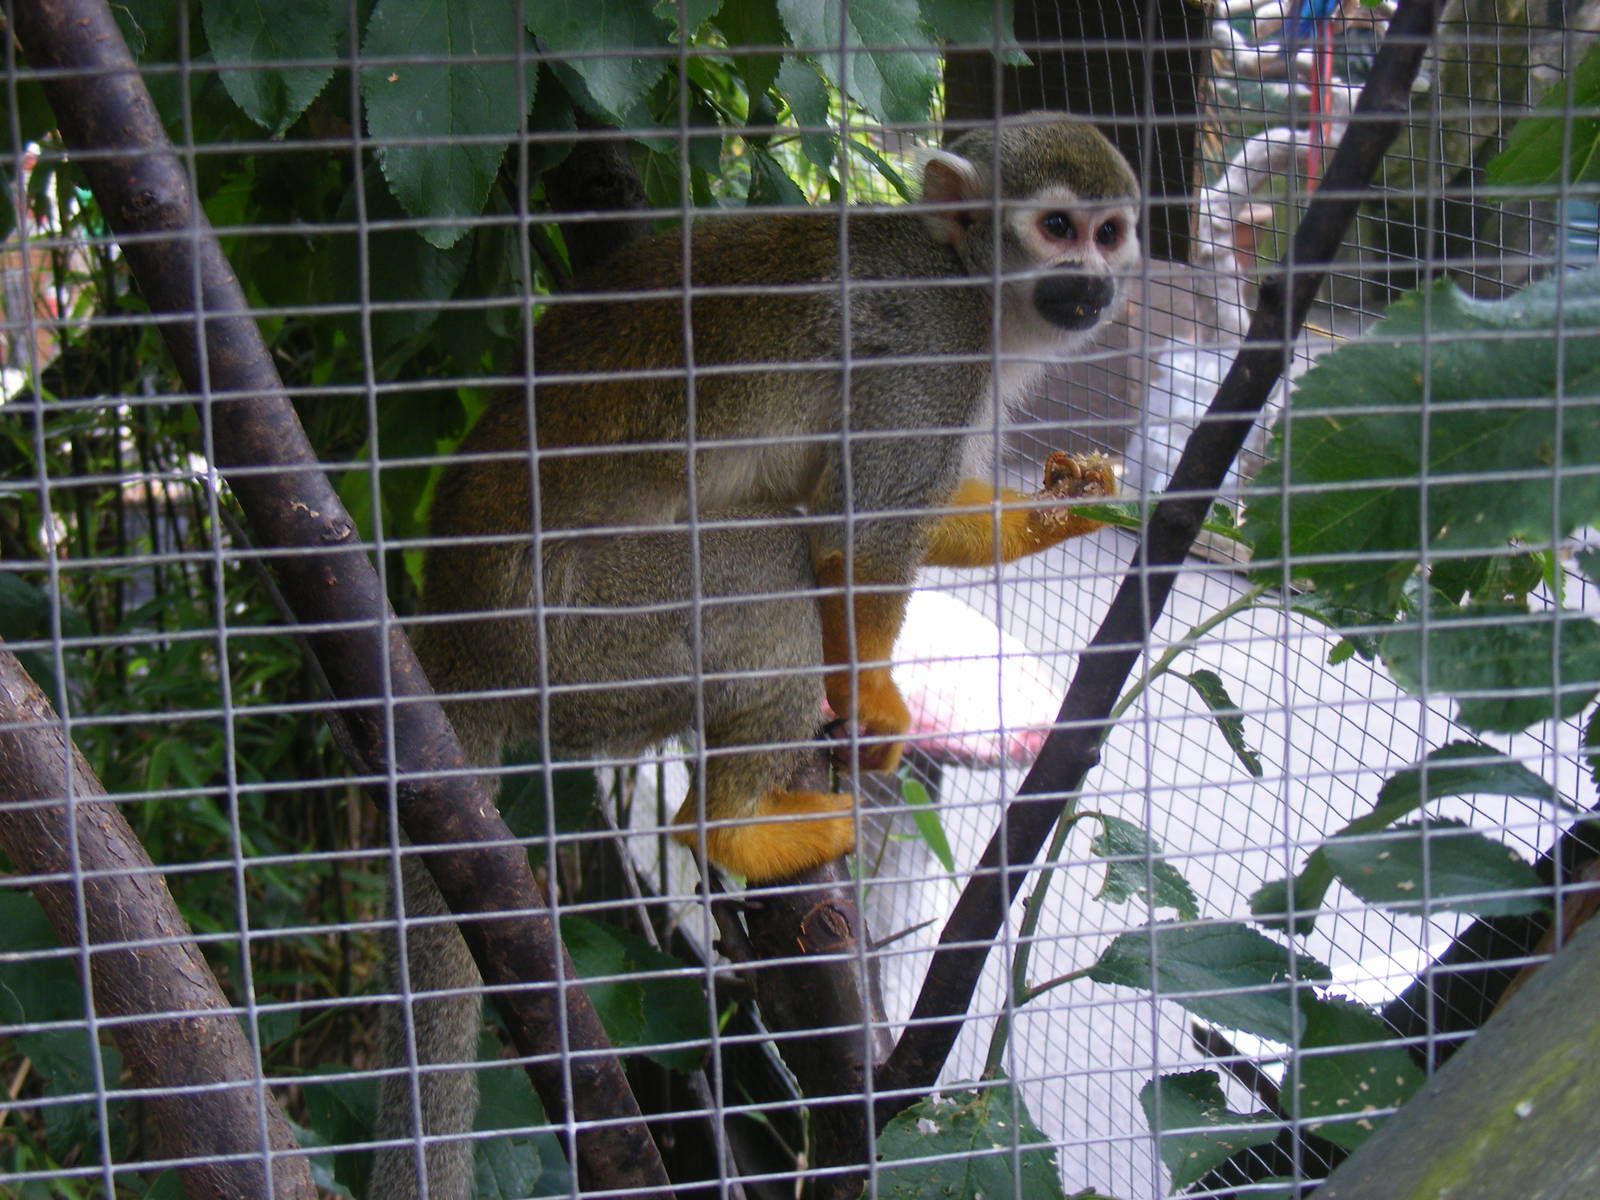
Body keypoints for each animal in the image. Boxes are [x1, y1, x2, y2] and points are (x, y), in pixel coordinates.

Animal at [371, 113, 1140, 1198]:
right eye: (1059, 228)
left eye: (1111, 232)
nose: (1093, 281)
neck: (964, 273)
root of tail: (457, 633)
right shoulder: (927, 351)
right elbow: (855, 536)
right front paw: (874, 708)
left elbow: (905, 512)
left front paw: (1064, 508)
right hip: (585, 634)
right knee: (772, 564)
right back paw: (731, 828)